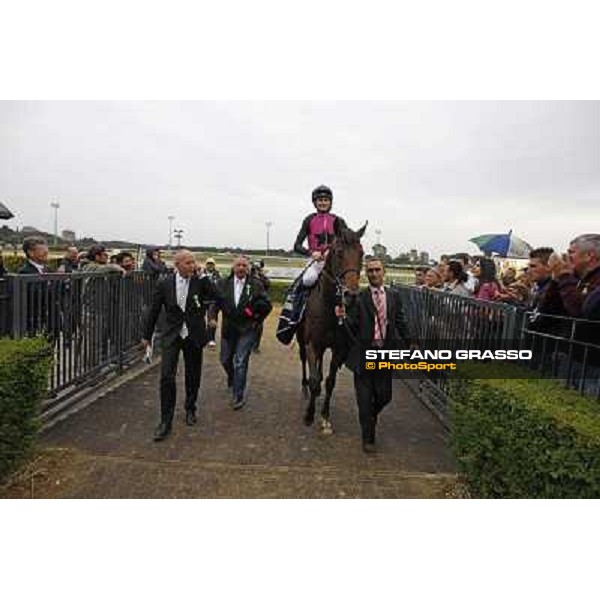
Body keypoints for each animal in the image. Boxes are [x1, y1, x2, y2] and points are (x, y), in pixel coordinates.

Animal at [296, 223, 366, 434]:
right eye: (339, 252)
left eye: (362, 253)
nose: (351, 295)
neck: (328, 309)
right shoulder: (312, 344)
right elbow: (313, 380)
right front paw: (309, 415)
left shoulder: (339, 348)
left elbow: (329, 381)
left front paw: (325, 416)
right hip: (301, 340)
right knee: (304, 362)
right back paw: (304, 388)